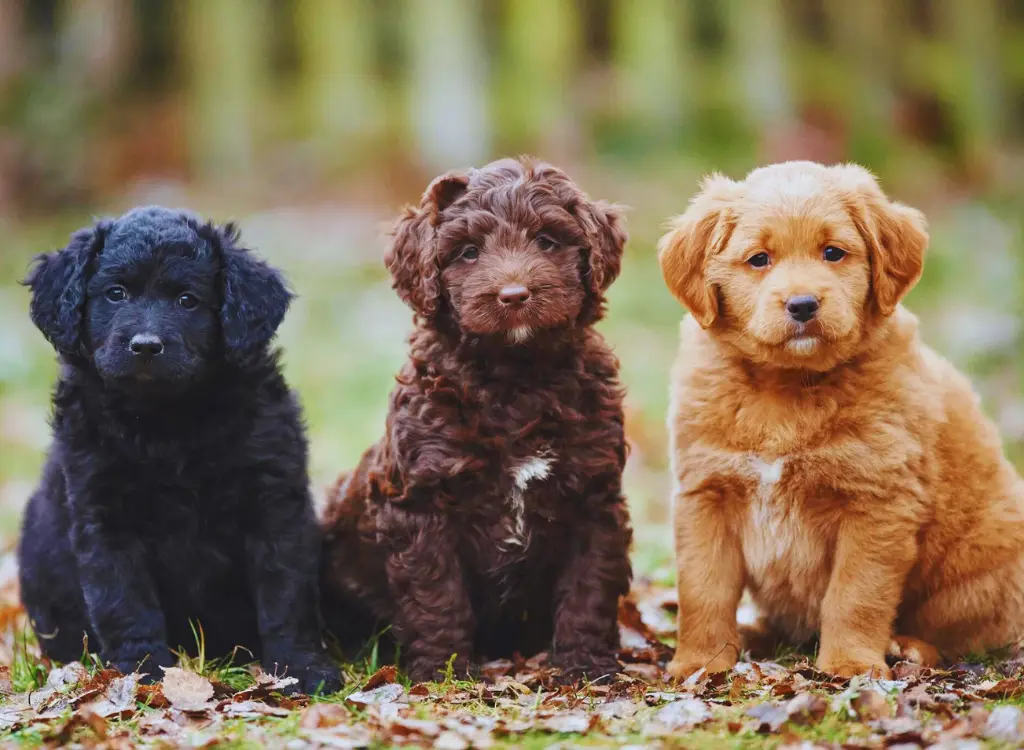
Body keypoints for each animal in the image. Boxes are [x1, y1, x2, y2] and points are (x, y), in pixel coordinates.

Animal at [17, 203, 339, 692]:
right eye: (115, 294)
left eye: (187, 300)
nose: (146, 346)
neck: (166, 422)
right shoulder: (104, 518)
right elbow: (125, 602)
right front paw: (144, 672)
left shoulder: (275, 504)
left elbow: (286, 594)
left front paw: (302, 668)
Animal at [319, 157, 630, 684]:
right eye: (467, 252)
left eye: (547, 240)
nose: (514, 295)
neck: (516, 380)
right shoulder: (421, 503)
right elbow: (437, 592)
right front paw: (444, 671)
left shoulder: (595, 495)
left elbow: (589, 583)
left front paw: (586, 665)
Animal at [655, 159, 1024, 680]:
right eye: (759, 259)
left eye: (833, 253)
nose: (803, 304)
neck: (786, 387)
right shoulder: (706, 494)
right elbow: (703, 589)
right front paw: (700, 663)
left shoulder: (877, 502)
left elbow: (855, 594)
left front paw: (850, 664)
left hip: (976, 578)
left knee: (963, 636)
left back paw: (907, 648)